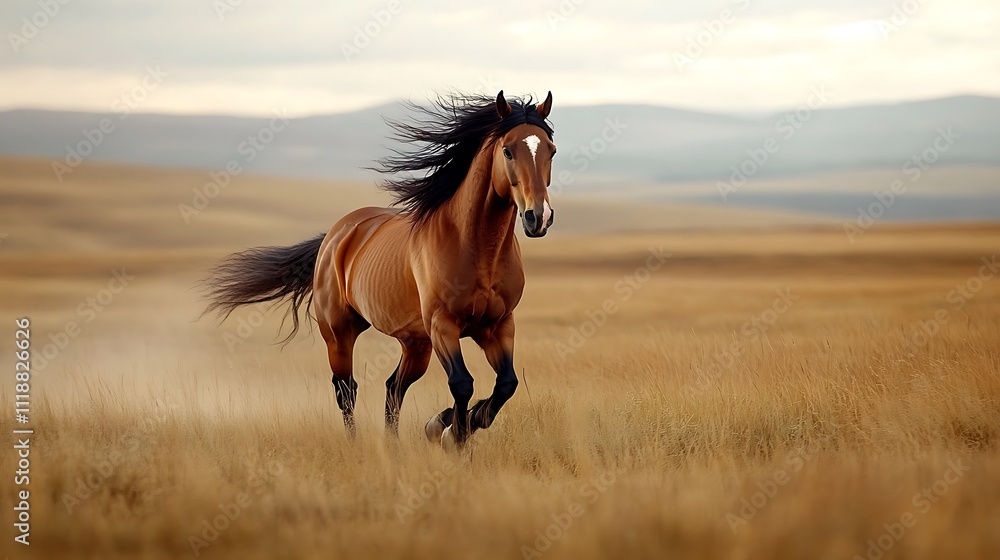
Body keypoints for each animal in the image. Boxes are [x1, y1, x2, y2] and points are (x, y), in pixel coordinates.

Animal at [204, 91, 556, 449]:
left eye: (551, 150)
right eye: (508, 150)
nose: (537, 217)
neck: (476, 247)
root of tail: (337, 234)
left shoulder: (498, 325)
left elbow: (506, 384)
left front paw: (450, 425)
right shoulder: (443, 326)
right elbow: (462, 383)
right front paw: (450, 434)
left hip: (416, 344)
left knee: (393, 386)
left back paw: (394, 443)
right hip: (339, 332)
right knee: (346, 389)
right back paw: (357, 443)